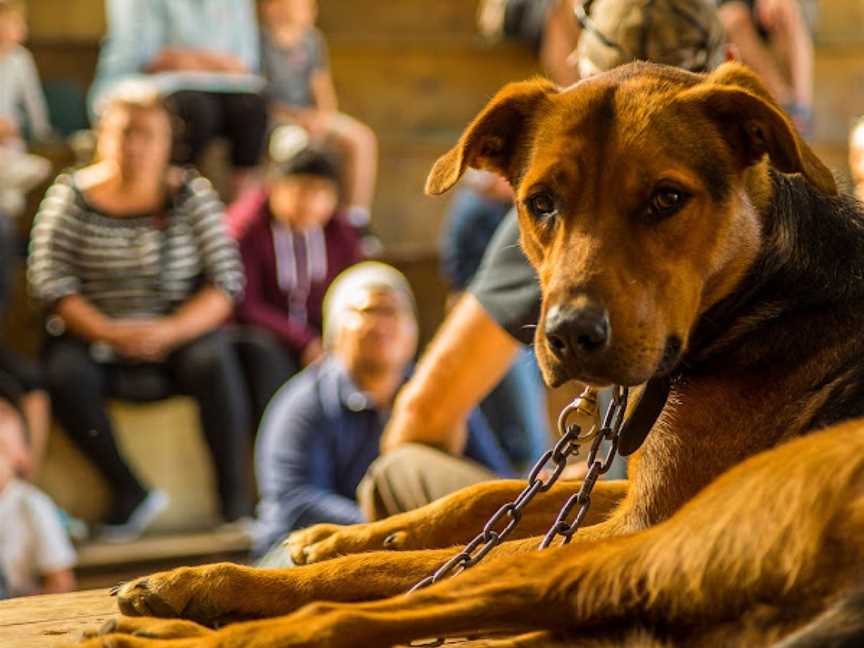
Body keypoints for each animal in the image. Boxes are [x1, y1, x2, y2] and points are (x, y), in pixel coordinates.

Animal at [76, 62, 864, 648]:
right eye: (541, 203)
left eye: (668, 198)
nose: (570, 336)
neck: (763, 284)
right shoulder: (641, 497)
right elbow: (482, 495)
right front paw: (347, 535)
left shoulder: (648, 519)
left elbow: (381, 574)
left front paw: (235, 581)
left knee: (363, 611)